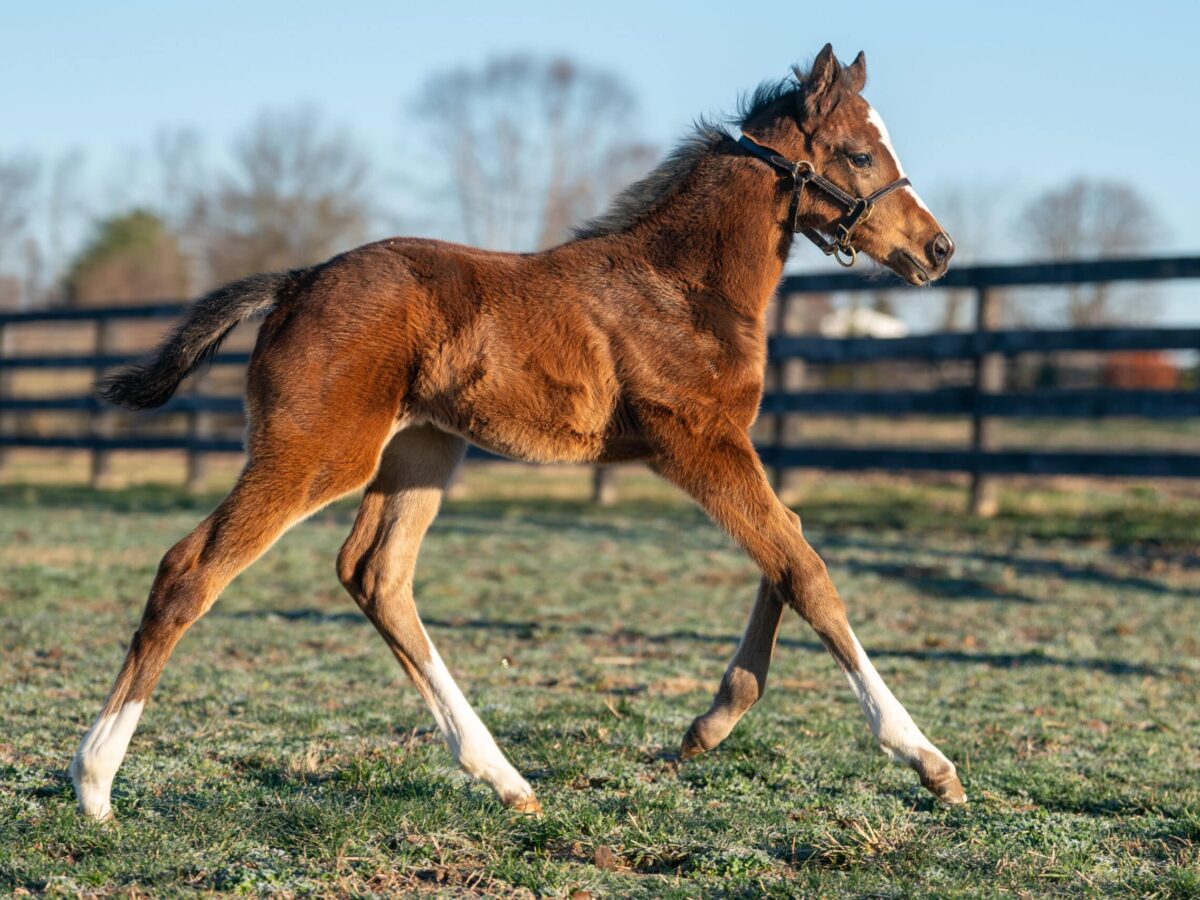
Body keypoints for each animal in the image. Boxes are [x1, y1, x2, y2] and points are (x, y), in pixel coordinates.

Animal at [72, 44, 964, 825]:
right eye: (857, 154)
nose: (938, 249)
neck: (682, 287)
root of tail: (297, 282)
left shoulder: (718, 450)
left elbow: (786, 548)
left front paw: (709, 726)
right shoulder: (697, 443)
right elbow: (803, 566)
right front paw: (925, 759)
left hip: (421, 451)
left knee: (376, 576)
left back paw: (502, 777)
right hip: (317, 453)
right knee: (191, 570)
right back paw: (94, 782)